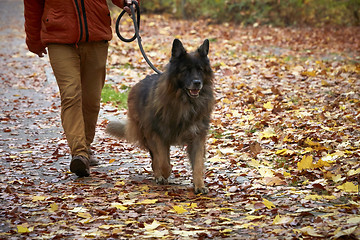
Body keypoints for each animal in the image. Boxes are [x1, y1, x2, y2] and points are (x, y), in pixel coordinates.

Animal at [106, 39, 214, 193]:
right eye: (186, 70)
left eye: (200, 70)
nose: (197, 83)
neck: (184, 103)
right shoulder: (157, 135)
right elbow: (162, 162)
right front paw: (163, 174)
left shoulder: (197, 137)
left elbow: (198, 164)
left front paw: (199, 185)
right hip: (147, 135)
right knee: (156, 158)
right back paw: (159, 176)